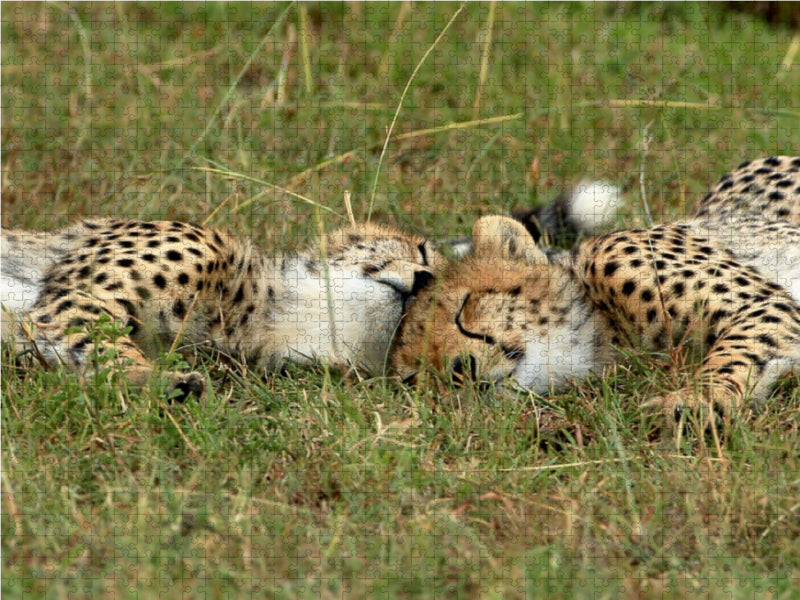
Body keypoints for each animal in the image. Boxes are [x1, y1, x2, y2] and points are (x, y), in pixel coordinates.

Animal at [394, 157, 800, 424]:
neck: (605, 330)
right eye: (416, 376)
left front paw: (698, 400)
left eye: (463, 308)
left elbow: (733, 353)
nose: (459, 370)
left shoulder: (764, 303)